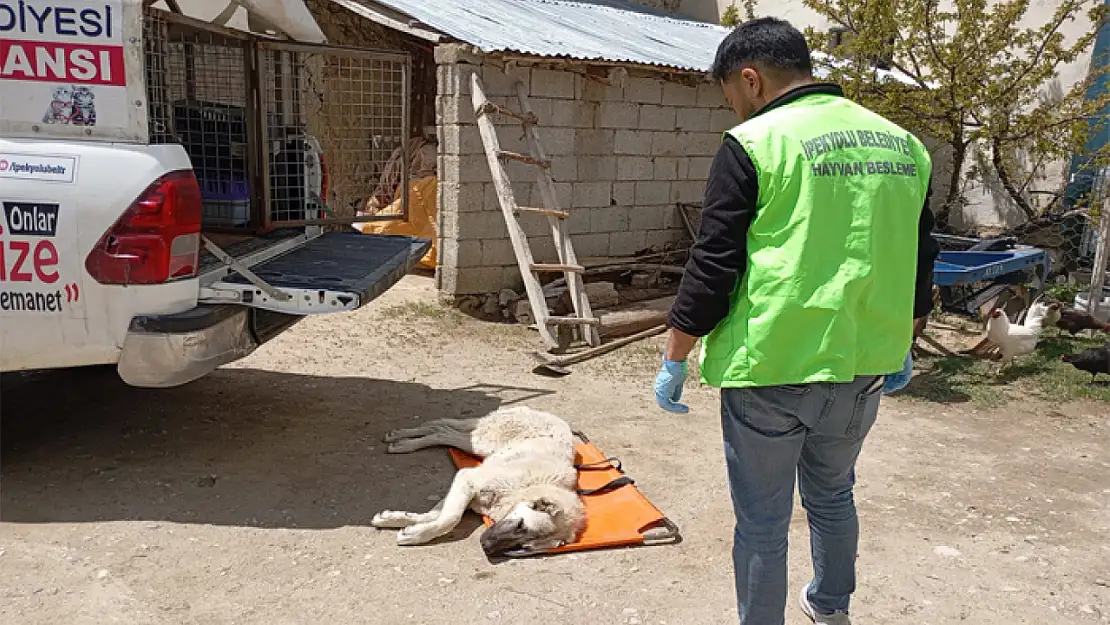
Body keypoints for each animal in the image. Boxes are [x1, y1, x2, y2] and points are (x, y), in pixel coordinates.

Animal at [368, 406, 586, 557]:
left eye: (523, 546)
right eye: (520, 525)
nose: (485, 546)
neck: (532, 487)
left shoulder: (466, 489)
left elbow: (436, 514)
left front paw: (399, 521)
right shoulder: (467, 477)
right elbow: (450, 518)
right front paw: (414, 535)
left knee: (442, 427)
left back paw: (401, 438)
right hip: (481, 442)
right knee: (444, 429)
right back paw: (403, 441)